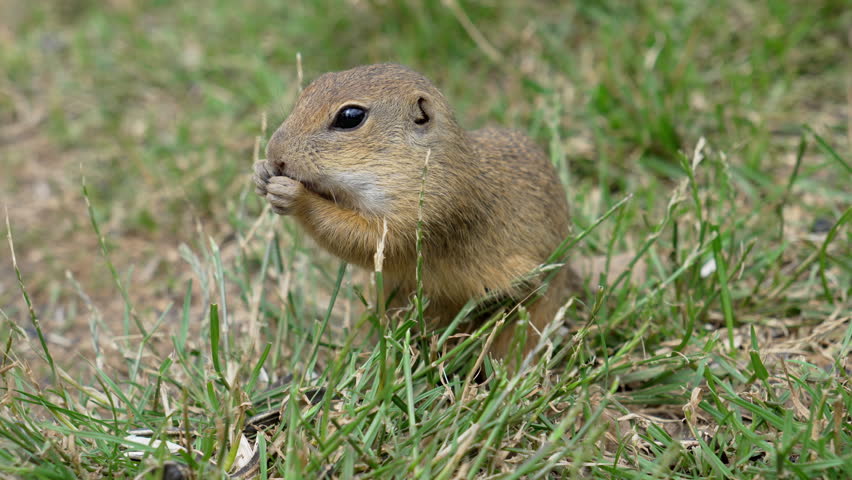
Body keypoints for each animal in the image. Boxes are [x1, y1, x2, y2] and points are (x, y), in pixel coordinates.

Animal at [254, 63, 581, 361]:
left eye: (350, 117)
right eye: (308, 90)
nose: (275, 154)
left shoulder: (431, 208)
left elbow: (370, 240)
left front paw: (294, 195)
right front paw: (260, 173)